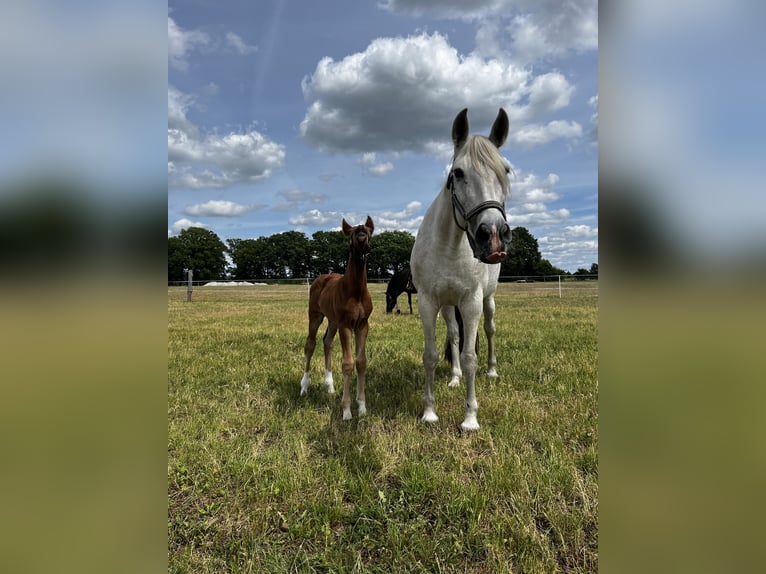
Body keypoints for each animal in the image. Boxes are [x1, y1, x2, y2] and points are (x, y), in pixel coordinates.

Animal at [300, 216, 375, 420]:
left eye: (369, 231)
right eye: (351, 234)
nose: (361, 232)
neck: (356, 291)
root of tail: (322, 277)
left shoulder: (362, 325)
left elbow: (361, 362)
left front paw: (362, 407)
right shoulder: (346, 325)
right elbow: (348, 363)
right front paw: (347, 410)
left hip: (333, 320)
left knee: (327, 342)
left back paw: (329, 385)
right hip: (315, 316)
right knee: (310, 345)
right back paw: (304, 387)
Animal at [410, 108, 512, 431]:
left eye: (506, 171)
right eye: (457, 173)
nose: (493, 235)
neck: (449, 246)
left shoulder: (471, 302)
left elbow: (470, 357)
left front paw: (470, 418)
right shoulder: (429, 301)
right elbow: (431, 354)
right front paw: (429, 412)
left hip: (488, 300)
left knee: (490, 331)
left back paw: (491, 371)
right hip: (447, 304)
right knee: (454, 336)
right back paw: (454, 379)